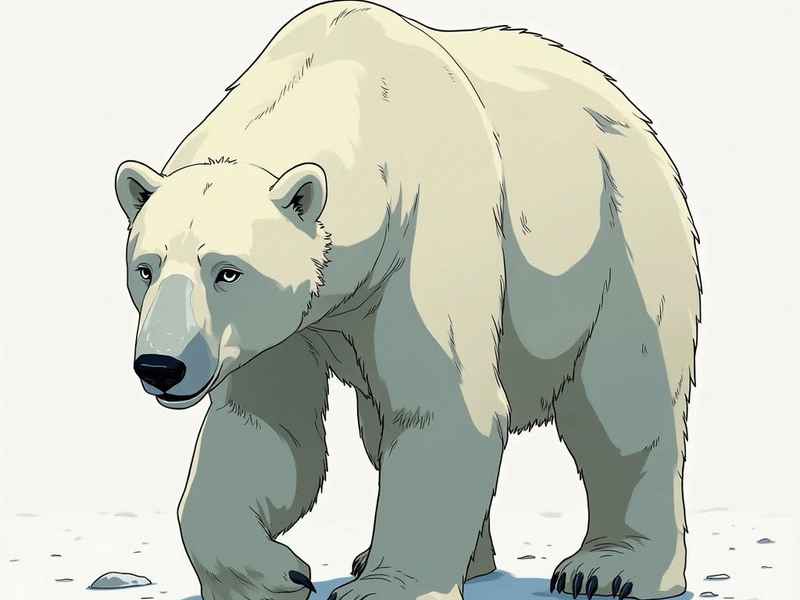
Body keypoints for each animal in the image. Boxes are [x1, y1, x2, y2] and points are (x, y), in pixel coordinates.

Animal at [114, 2, 701, 599]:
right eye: (146, 268)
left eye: (228, 271)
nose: (160, 366)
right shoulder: (289, 323)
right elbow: (264, 427)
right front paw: (275, 575)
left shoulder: (426, 229)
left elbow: (439, 405)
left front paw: (384, 587)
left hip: (619, 234)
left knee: (623, 401)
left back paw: (611, 569)